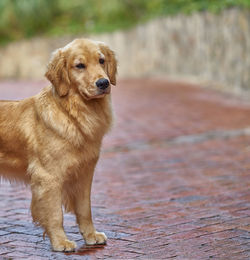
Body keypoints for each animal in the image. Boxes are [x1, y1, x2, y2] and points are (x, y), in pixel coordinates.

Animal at [0, 38, 117, 252]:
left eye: (101, 60)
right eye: (79, 65)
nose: (103, 83)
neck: (73, 114)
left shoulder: (84, 174)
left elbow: (85, 210)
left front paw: (91, 235)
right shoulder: (48, 177)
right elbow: (55, 214)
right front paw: (60, 242)